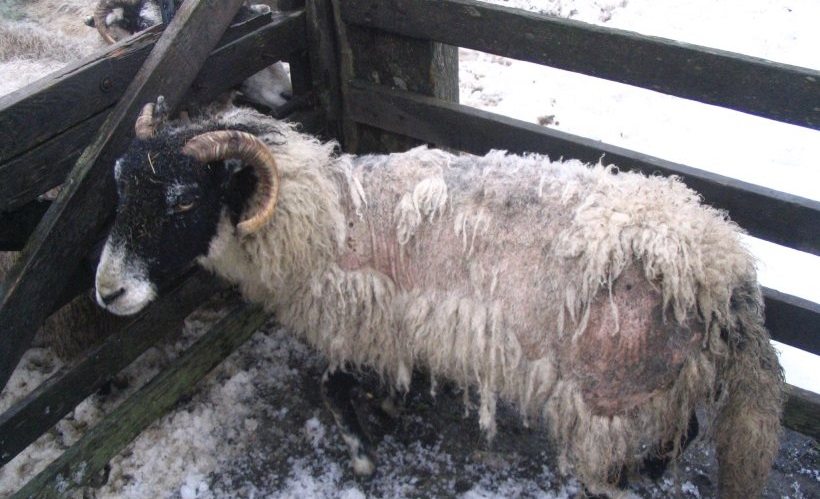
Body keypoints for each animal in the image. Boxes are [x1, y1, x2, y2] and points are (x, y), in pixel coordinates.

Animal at [93, 99, 784, 498]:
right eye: (120, 188)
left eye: (185, 200)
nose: (107, 291)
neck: (326, 219)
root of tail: (727, 268)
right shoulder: (399, 328)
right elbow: (374, 382)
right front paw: (388, 408)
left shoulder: (361, 325)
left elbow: (329, 388)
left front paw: (363, 455)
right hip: (663, 376)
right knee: (681, 433)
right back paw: (652, 473)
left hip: (613, 388)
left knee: (642, 449)